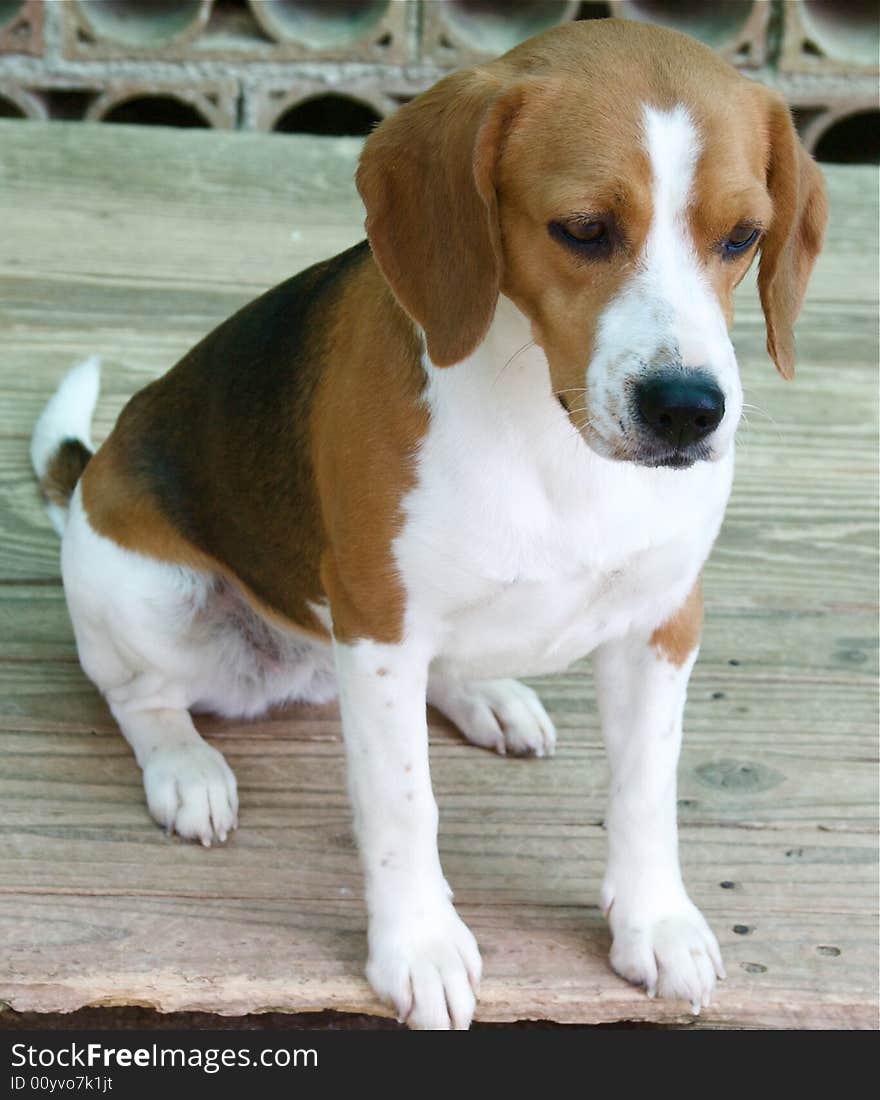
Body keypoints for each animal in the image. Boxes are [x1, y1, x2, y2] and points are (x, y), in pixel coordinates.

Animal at [29, 19, 827, 1029]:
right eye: (583, 230)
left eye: (743, 236)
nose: (688, 411)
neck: (549, 427)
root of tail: (91, 475)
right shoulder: (378, 626)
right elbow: (404, 807)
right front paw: (418, 946)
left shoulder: (665, 621)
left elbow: (647, 792)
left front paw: (656, 922)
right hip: (151, 593)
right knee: (137, 696)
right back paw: (187, 769)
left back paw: (487, 696)